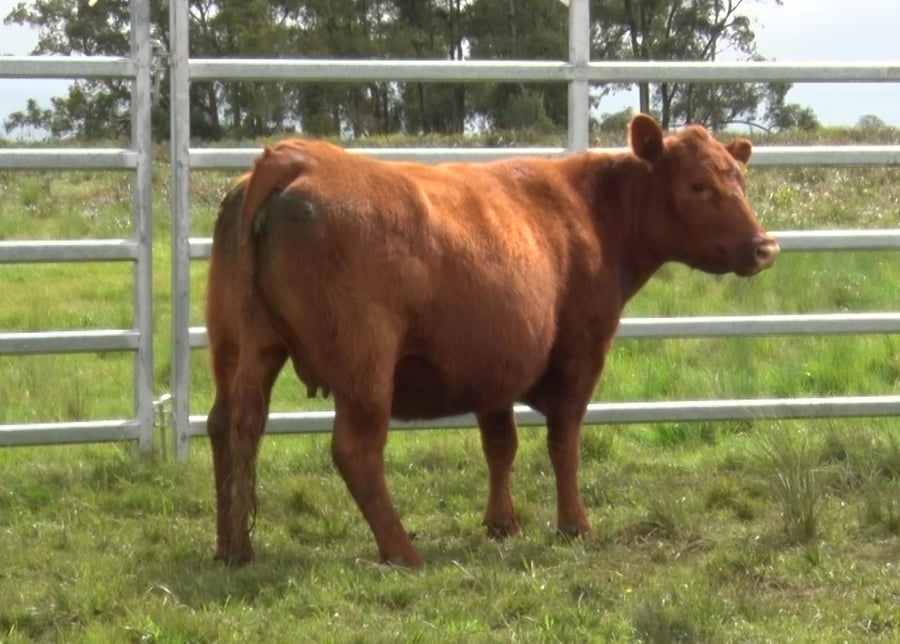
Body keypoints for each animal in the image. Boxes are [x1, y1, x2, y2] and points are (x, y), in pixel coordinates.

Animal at [205, 114, 779, 568]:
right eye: (698, 185)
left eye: (740, 178)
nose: (764, 246)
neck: (589, 212)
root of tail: (295, 158)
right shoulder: (580, 351)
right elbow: (563, 443)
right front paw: (574, 525)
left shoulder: (493, 363)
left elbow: (501, 444)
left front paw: (502, 523)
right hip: (364, 366)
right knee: (356, 450)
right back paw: (402, 552)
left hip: (242, 347)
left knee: (232, 427)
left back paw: (234, 549)